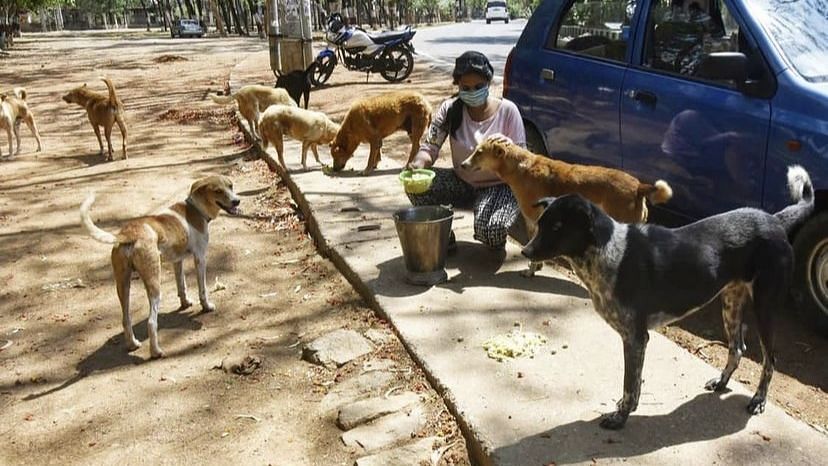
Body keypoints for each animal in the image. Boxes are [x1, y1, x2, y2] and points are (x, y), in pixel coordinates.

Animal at [79, 177, 239, 358]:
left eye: (231, 186)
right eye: (218, 191)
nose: (237, 201)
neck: (195, 209)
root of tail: (129, 233)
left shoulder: (178, 261)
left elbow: (181, 286)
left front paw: (185, 303)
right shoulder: (200, 258)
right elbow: (203, 290)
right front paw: (206, 307)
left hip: (123, 285)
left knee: (126, 319)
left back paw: (133, 344)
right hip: (154, 284)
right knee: (151, 322)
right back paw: (156, 352)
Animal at [460, 138, 672, 276]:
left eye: (479, 153)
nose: (462, 164)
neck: (520, 166)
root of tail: (638, 186)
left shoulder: (534, 221)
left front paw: (531, 269)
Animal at [524, 167, 816, 430]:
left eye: (558, 227)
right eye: (540, 224)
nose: (526, 252)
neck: (608, 251)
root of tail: (774, 220)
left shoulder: (636, 338)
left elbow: (630, 384)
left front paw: (621, 417)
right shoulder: (635, 339)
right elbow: (633, 383)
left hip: (764, 307)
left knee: (769, 360)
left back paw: (758, 400)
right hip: (731, 303)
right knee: (737, 348)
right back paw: (721, 383)